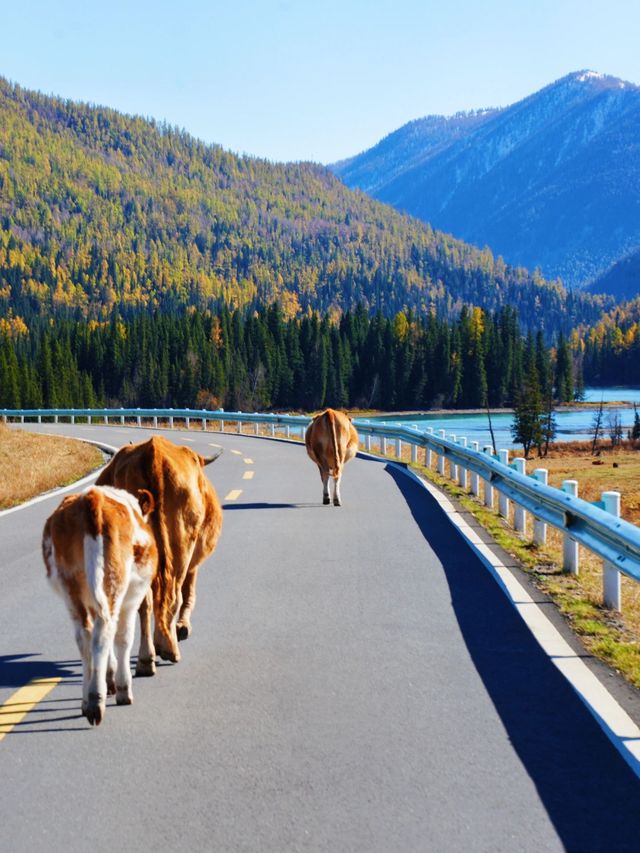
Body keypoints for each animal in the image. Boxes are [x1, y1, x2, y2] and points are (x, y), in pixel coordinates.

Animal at [42, 486, 158, 724]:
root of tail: (91, 497)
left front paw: (110, 678)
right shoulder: (131, 599)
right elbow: (123, 638)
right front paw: (121, 687)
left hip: (71, 588)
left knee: (85, 636)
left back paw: (87, 700)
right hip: (115, 581)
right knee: (104, 633)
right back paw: (97, 700)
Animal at [95, 436, 222, 676]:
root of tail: (154, 451)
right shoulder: (193, 562)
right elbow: (188, 592)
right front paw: (182, 628)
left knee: (146, 602)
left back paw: (147, 659)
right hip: (182, 543)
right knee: (172, 594)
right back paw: (170, 649)